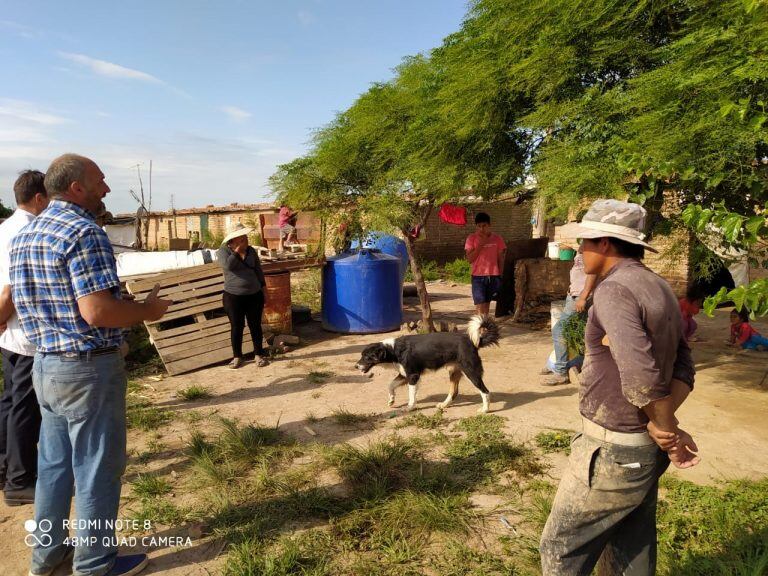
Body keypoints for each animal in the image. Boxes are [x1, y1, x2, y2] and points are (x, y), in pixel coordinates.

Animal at [352, 316, 498, 414]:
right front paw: (392, 400)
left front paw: (410, 407)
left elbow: (411, 395)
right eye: (361, 355)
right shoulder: (404, 375)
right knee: (454, 392)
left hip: (471, 372)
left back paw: (485, 409)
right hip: (454, 372)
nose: (356, 366)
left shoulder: (413, 376)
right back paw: (444, 405)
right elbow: (390, 385)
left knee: (485, 391)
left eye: (366, 357)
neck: (393, 350)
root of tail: (472, 341)